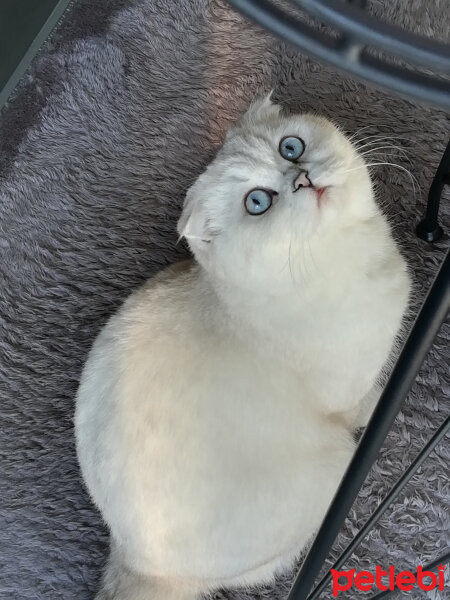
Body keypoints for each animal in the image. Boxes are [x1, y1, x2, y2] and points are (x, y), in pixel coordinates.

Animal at [74, 95, 412, 600]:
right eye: (257, 202)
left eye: (291, 147)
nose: (301, 177)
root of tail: (135, 562)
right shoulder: (346, 396)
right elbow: (370, 404)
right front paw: (388, 406)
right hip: (331, 469)